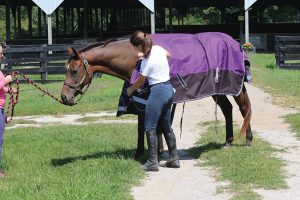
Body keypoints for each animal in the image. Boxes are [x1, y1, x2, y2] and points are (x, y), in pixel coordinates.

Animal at [61, 34, 253, 159]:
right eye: (66, 69)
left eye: (74, 70)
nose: (64, 97)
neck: (134, 58)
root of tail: (234, 43)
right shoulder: (141, 100)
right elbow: (142, 126)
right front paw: (140, 154)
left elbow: (158, 125)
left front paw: (159, 154)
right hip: (218, 90)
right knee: (227, 109)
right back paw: (228, 141)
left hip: (235, 87)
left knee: (244, 108)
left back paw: (248, 140)